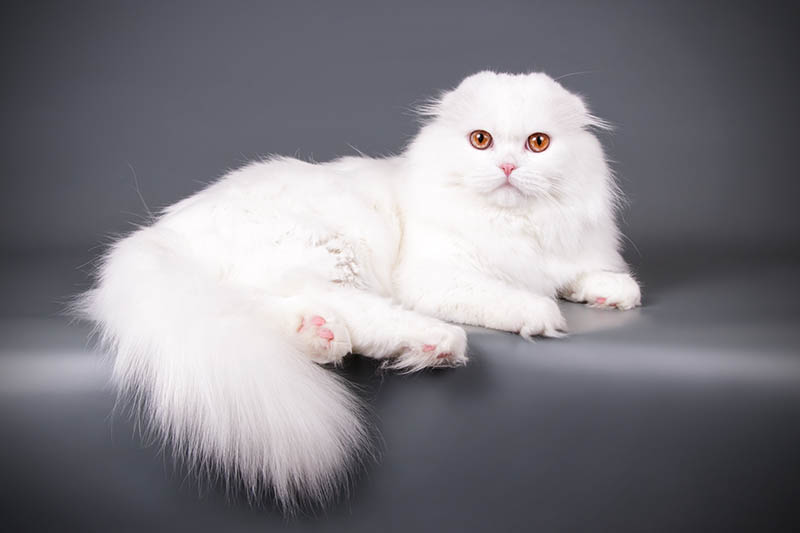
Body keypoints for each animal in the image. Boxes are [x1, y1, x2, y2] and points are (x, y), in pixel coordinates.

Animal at [79, 69, 644, 508]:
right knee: (343, 311)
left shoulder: (568, 252)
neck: (514, 226)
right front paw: (540, 312)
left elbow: (587, 274)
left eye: (537, 143)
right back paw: (431, 342)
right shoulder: (436, 276)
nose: (507, 167)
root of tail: (157, 234)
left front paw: (612, 292)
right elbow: (509, 294)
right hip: (327, 246)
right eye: (480, 140)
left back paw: (322, 335)